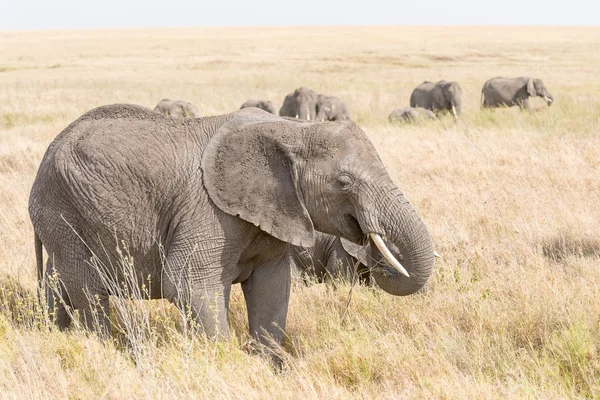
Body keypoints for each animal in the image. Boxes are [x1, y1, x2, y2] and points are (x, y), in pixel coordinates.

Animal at [29, 103, 436, 356]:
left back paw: (55, 337)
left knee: (58, 282)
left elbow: (273, 289)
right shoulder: (206, 211)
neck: (291, 129)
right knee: (89, 290)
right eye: (344, 182)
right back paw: (111, 349)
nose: (377, 250)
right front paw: (225, 364)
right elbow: (189, 285)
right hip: (63, 210)